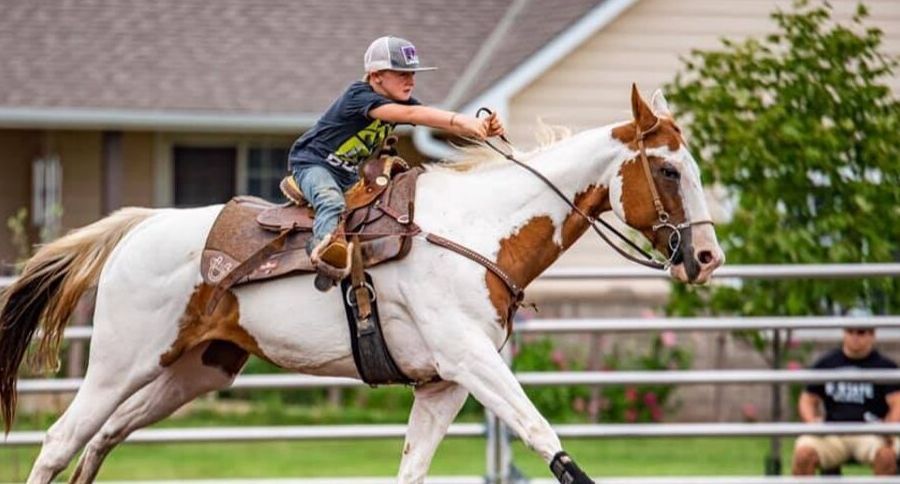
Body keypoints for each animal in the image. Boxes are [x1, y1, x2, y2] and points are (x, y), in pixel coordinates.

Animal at [0, 86, 723, 484]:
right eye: (666, 170)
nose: (708, 255)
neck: (479, 230)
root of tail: (142, 225)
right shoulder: (473, 361)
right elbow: (545, 438)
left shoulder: (443, 385)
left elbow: (412, 468)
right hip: (122, 360)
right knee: (62, 441)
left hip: (196, 369)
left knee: (102, 440)